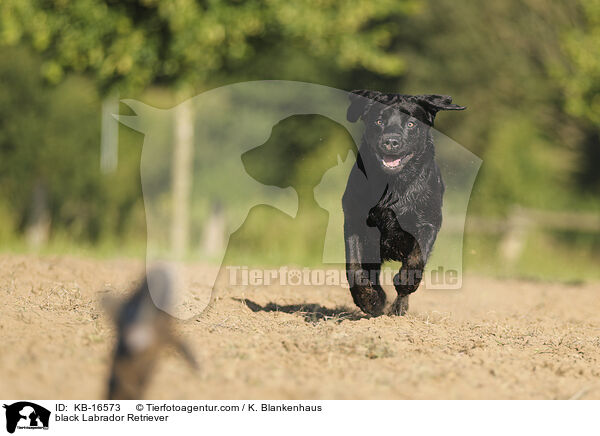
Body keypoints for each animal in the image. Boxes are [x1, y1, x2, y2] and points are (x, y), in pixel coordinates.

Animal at [342, 90, 464, 316]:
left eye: (411, 124)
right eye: (379, 121)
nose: (391, 141)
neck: (394, 186)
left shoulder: (428, 223)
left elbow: (417, 258)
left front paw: (405, 282)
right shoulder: (355, 221)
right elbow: (353, 266)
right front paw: (367, 298)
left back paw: (398, 307)